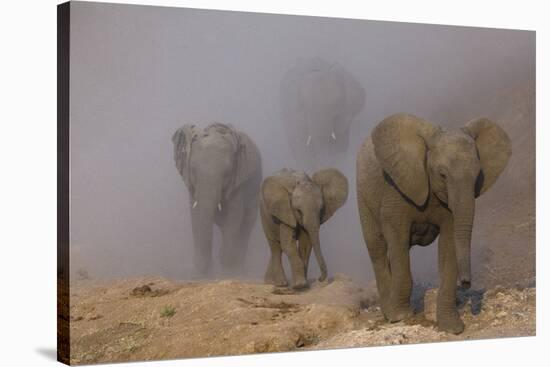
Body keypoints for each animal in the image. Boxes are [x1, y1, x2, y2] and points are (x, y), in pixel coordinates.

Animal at [172, 122, 264, 278]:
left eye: (227, 173)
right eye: (193, 170)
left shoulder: (238, 183)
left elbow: (234, 215)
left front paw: (228, 270)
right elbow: (196, 216)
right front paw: (202, 273)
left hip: (254, 189)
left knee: (246, 222)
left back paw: (238, 268)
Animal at [358, 113, 512, 334]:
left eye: (477, 176)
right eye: (442, 174)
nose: (466, 283)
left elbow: (449, 244)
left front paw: (452, 327)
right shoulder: (396, 189)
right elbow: (396, 235)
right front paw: (400, 316)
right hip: (363, 194)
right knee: (377, 247)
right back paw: (388, 312)